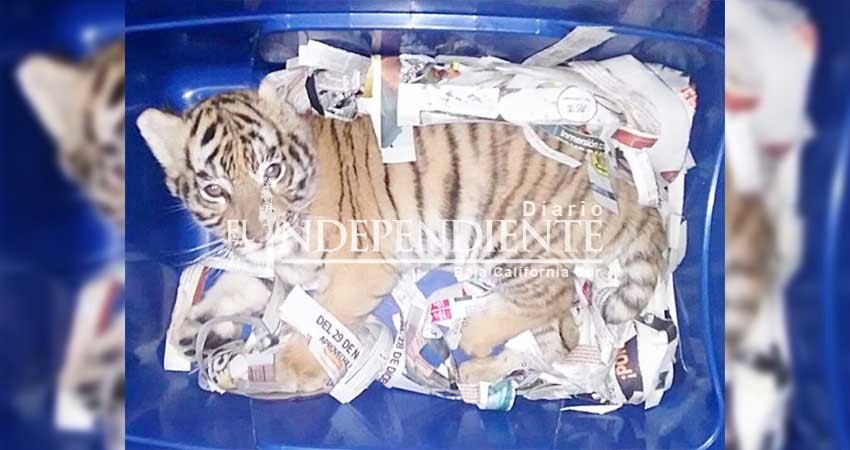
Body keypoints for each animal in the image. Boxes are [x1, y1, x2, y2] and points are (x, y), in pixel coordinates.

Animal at [136, 77, 667, 393]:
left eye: (271, 170)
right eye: (214, 189)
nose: (258, 231)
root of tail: (622, 187)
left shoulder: (358, 271)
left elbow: (321, 325)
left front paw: (285, 366)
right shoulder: (275, 268)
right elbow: (232, 289)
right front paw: (191, 331)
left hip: (512, 239)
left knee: (552, 296)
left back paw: (473, 338)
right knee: (557, 342)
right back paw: (479, 373)